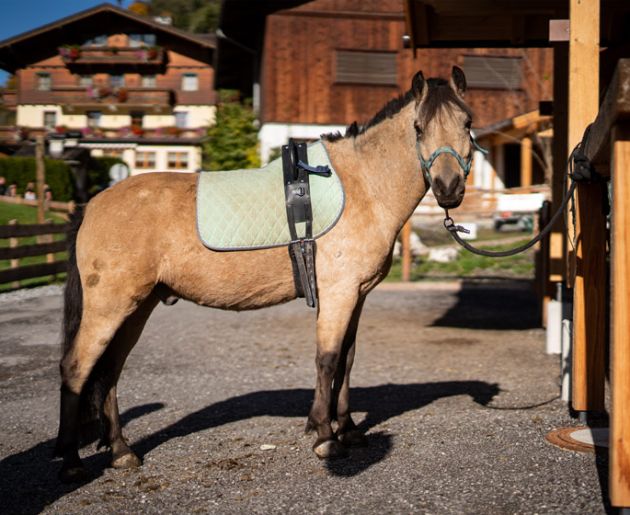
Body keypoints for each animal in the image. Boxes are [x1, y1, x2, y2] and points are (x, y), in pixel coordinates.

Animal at [55, 66, 478, 482]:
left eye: (467, 122)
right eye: (419, 127)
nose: (449, 187)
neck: (363, 186)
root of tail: (91, 206)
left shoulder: (356, 295)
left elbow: (347, 359)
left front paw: (348, 429)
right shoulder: (339, 294)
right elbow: (327, 359)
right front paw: (325, 437)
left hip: (137, 308)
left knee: (109, 370)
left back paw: (120, 451)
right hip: (109, 307)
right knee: (77, 367)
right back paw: (71, 460)